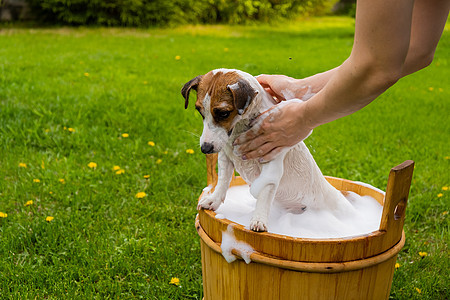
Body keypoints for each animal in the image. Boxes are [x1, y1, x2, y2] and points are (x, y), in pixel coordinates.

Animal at [180, 68, 356, 232]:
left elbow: (264, 194)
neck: (239, 127)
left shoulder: (270, 164)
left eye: (223, 113)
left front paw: (258, 219)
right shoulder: (225, 156)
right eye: (200, 111)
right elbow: (223, 181)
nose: (205, 148)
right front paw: (214, 200)